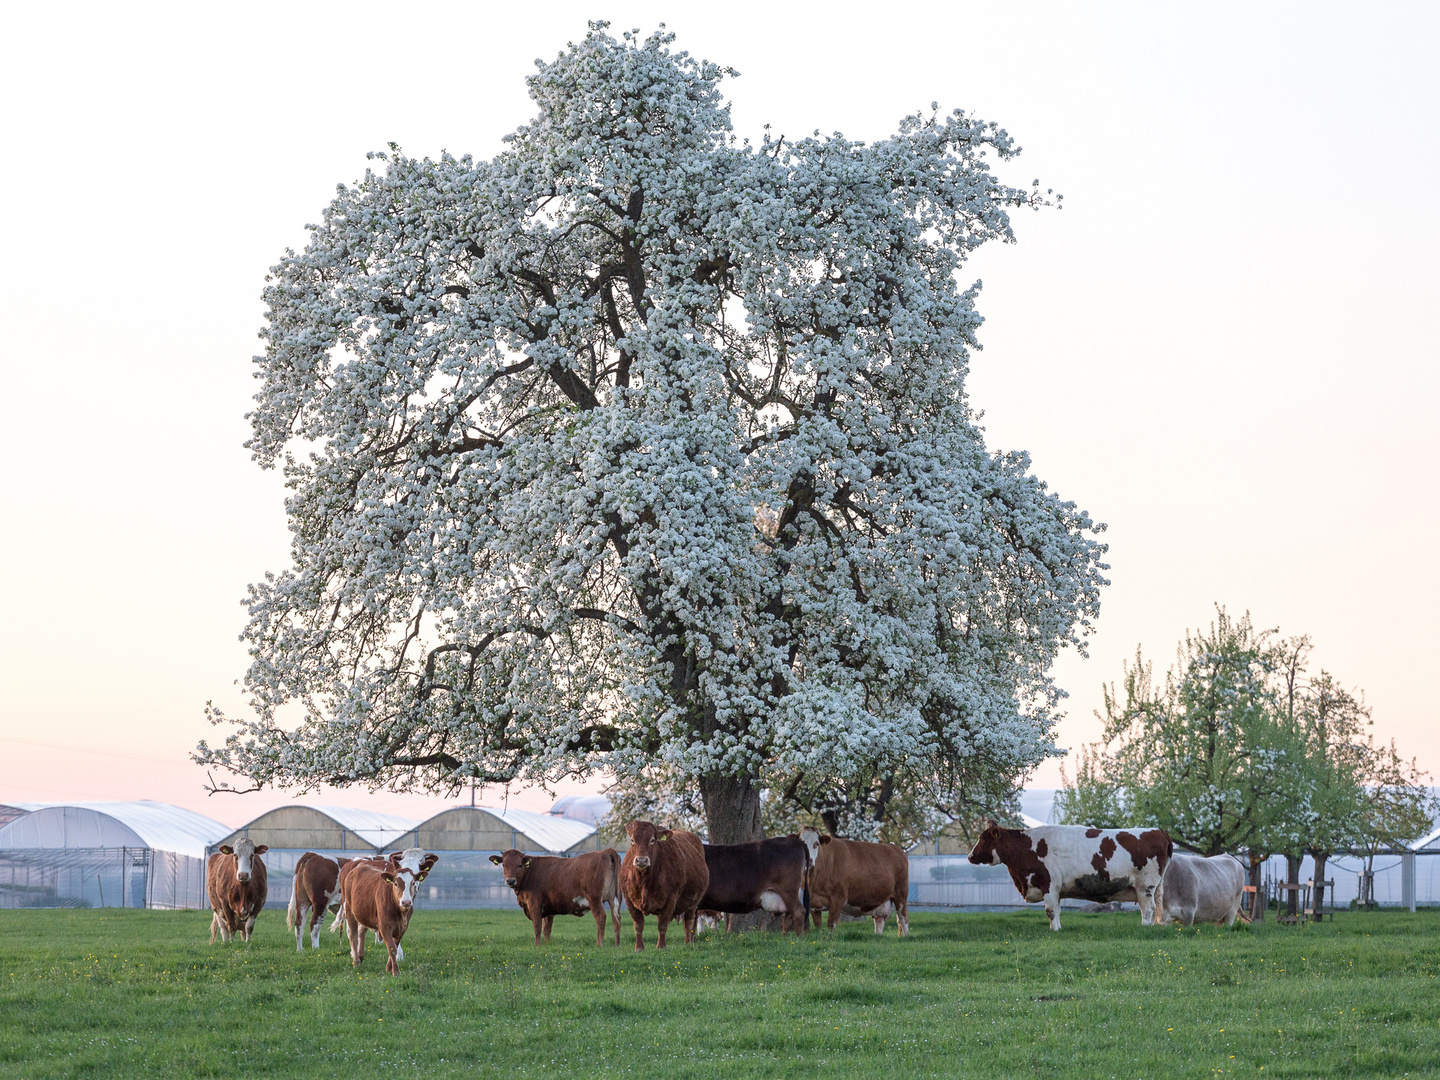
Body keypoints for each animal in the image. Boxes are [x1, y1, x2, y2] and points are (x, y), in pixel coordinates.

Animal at [489, 846, 619, 944]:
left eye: (519, 865)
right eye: (504, 865)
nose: (510, 881)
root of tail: (606, 851)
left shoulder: (534, 905)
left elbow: (537, 927)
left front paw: (537, 945)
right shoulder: (548, 909)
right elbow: (547, 929)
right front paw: (547, 945)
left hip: (594, 899)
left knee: (601, 917)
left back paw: (599, 944)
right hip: (614, 899)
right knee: (616, 919)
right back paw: (617, 944)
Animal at [619, 817, 708, 956]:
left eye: (652, 840)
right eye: (632, 840)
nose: (641, 860)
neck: (644, 881)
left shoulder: (670, 900)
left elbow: (662, 925)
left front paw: (660, 947)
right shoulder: (629, 900)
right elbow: (638, 925)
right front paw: (639, 948)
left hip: (693, 903)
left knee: (688, 923)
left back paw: (687, 943)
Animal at [967, 817, 1169, 933]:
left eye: (982, 839)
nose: (970, 856)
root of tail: (1158, 831)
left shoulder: (1048, 884)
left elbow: (1050, 911)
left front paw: (1054, 931)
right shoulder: (1056, 889)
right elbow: (1057, 910)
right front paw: (1057, 928)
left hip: (1145, 886)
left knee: (1148, 908)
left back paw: (1145, 927)